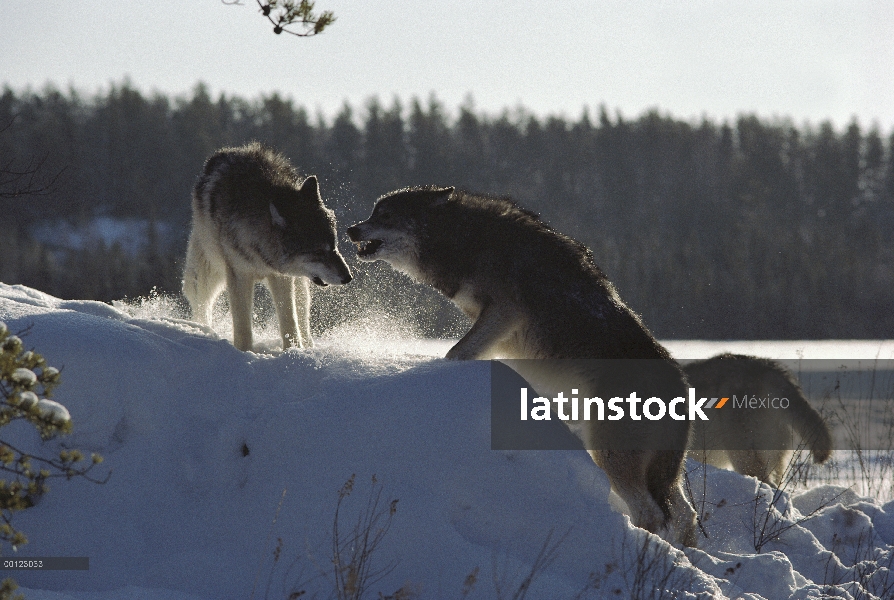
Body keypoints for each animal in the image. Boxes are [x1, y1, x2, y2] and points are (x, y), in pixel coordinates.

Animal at [183, 143, 354, 352]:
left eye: (333, 246)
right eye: (318, 251)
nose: (348, 277)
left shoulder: (281, 277)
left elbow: (289, 322)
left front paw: (293, 352)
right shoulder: (239, 276)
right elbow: (243, 326)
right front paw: (244, 352)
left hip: (300, 286)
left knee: (302, 318)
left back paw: (308, 346)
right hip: (204, 275)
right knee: (202, 305)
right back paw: (203, 330)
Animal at [348, 188, 700, 548]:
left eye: (386, 215)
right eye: (374, 212)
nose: (350, 230)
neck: (470, 238)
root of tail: (680, 383)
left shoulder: (504, 312)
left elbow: (455, 353)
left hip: (609, 454)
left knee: (651, 513)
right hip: (660, 470)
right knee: (686, 514)